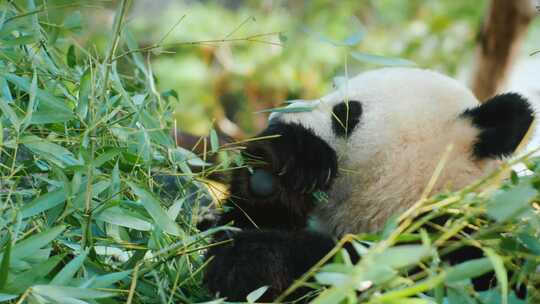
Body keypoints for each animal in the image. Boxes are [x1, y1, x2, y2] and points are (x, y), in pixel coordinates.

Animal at [204, 67, 536, 302]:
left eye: (346, 112)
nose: (276, 116)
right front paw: (280, 164)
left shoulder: (460, 251)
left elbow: (354, 275)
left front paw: (246, 258)